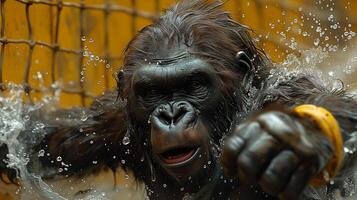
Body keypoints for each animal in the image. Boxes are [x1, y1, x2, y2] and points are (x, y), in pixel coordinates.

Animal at [0, 0, 356, 200]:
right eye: (152, 92)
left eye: (194, 84)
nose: (171, 114)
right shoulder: (112, 124)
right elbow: (45, 138)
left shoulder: (285, 94)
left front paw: (295, 137)